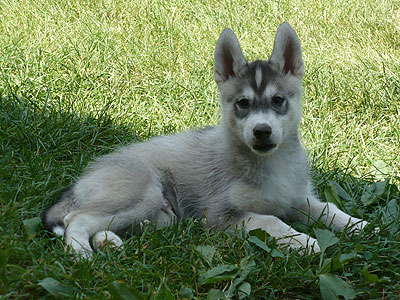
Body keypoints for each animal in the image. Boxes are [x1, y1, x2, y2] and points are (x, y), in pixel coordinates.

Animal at [42, 22, 368, 258]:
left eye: (278, 100)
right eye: (243, 103)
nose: (262, 131)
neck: (272, 164)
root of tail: (87, 175)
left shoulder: (297, 198)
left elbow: (328, 209)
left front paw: (359, 225)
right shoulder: (221, 216)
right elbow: (271, 221)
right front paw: (303, 241)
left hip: (160, 217)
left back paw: (108, 243)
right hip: (143, 194)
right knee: (75, 220)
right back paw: (82, 254)